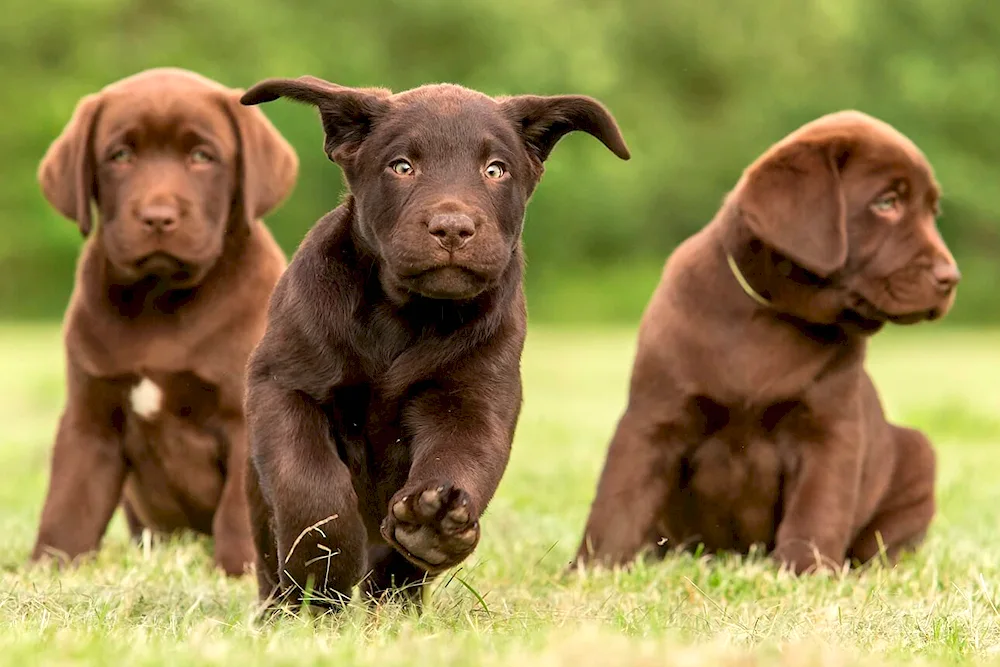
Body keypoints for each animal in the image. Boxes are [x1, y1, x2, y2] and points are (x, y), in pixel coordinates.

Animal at [30, 69, 296, 580]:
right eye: (120, 156)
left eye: (202, 157)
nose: (157, 217)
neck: (159, 298)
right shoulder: (89, 419)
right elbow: (69, 504)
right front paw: (51, 570)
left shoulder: (242, 417)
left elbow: (237, 509)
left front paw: (238, 572)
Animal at [240, 75, 624, 608]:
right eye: (402, 166)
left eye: (495, 169)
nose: (453, 228)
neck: (406, 313)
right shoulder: (284, 384)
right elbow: (307, 482)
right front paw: (325, 564)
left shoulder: (472, 400)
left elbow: (459, 458)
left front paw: (433, 524)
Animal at [576, 109, 956, 576]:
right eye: (887, 203)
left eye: (932, 210)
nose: (951, 278)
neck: (772, 316)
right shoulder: (653, 416)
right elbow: (618, 502)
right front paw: (591, 570)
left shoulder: (829, 431)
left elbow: (817, 511)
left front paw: (803, 573)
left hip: (919, 457)